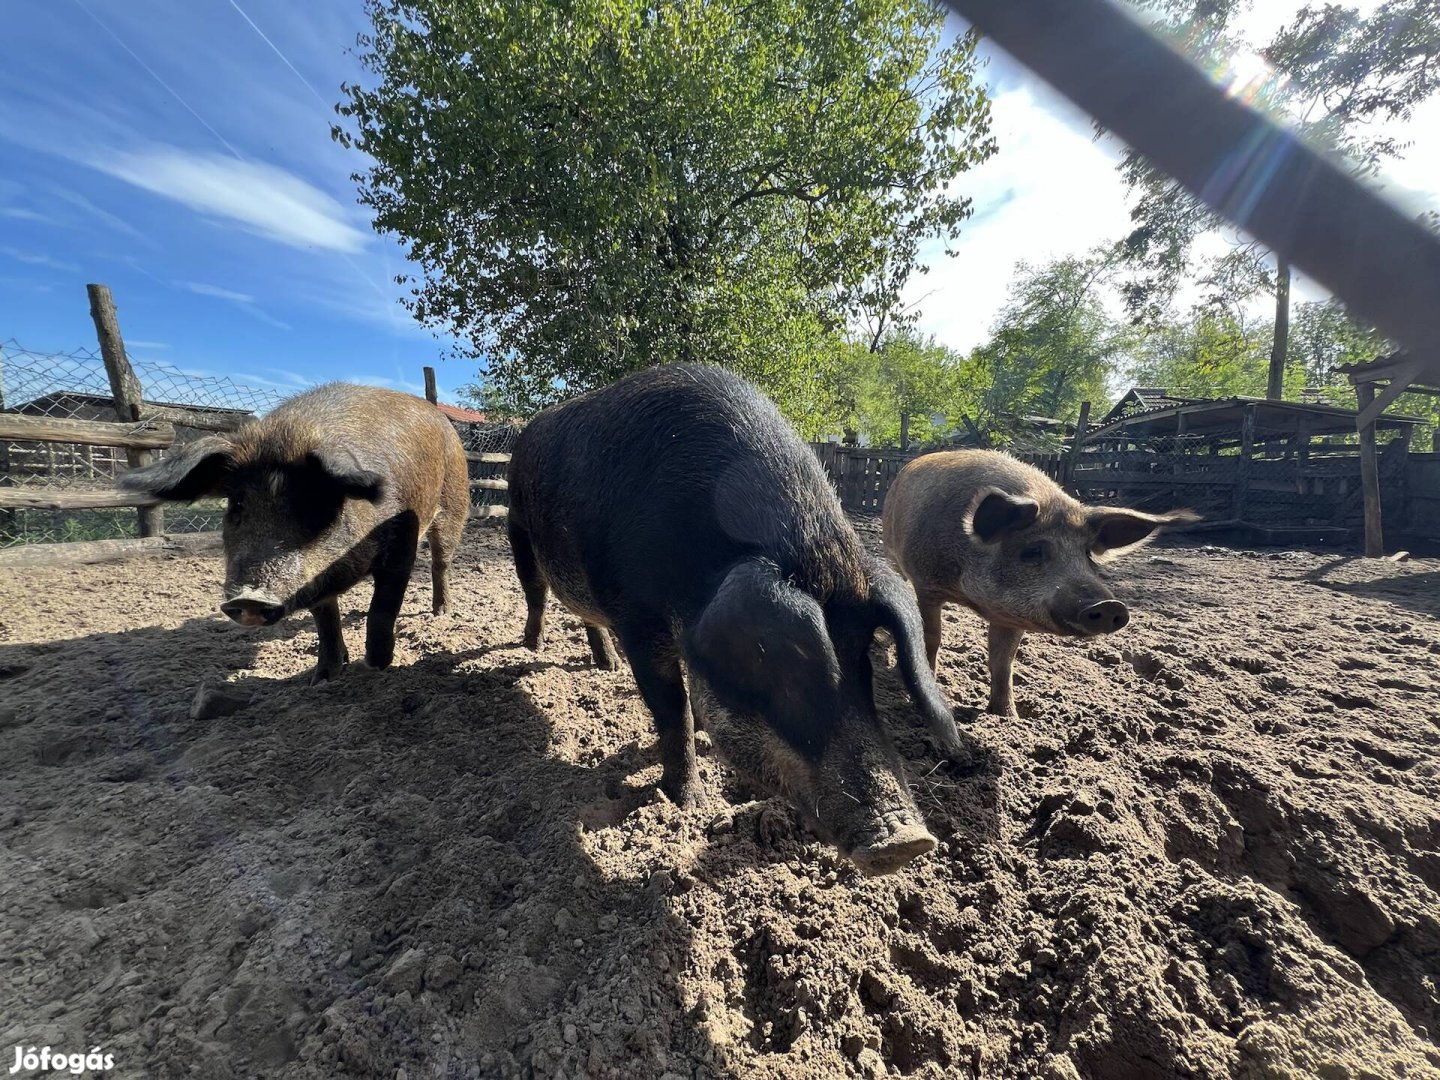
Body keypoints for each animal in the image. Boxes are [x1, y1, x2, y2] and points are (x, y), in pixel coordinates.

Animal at [119, 385, 466, 679]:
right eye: (238, 503)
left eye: (311, 503)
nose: (250, 598)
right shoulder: (312, 580)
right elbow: (325, 619)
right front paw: (323, 677)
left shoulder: (400, 545)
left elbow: (381, 610)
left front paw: (374, 666)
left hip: (454, 504)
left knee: (441, 562)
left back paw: (442, 613)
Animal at [881, 449, 1198, 720]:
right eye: (1032, 551)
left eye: (1087, 554)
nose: (1110, 605)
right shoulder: (927, 586)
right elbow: (931, 638)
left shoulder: (1009, 614)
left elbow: (1003, 660)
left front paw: (1008, 717)